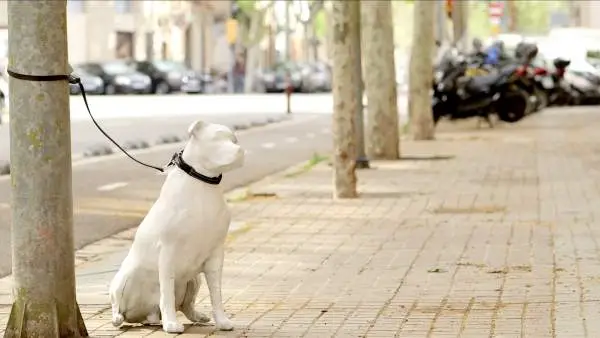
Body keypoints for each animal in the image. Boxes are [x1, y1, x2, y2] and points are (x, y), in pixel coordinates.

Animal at [109, 119, 245, 332]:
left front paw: (222, 321)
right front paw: (171, 324)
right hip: (124, 277)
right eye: (217, 138)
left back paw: (198, 316)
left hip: (194, 279)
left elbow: (216, 294)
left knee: (185, 305)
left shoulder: (216, 255)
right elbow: (166, 292)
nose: (240, 150)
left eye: (234, 140)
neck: (203, 184)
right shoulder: (168, 253)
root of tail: (144, 314)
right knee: (117, 303)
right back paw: (118, 318)